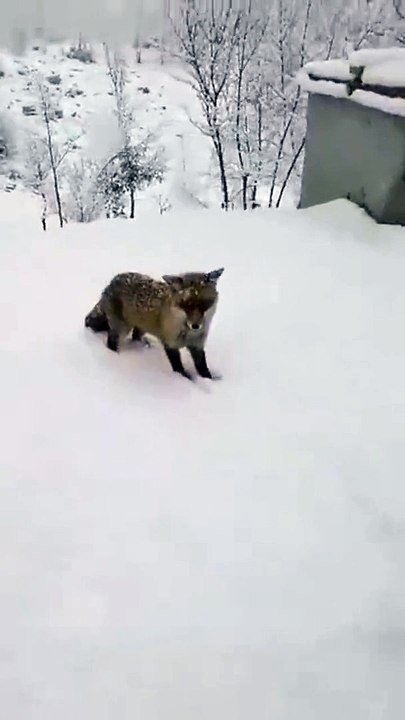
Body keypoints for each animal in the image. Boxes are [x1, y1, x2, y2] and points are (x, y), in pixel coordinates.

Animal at [84, 268, 224, 380]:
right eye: (187, 306)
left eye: (204, 305)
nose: (195, 326)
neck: (187, 334)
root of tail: (114, 280)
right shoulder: (170, 344)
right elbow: (178, 367)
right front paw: (184, 379)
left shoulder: (197, 346)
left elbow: (203, 368)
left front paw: (210, 380)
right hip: (122, 328)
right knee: (111, 342)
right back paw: (115, 357)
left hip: (142, 326)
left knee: (136, 336)